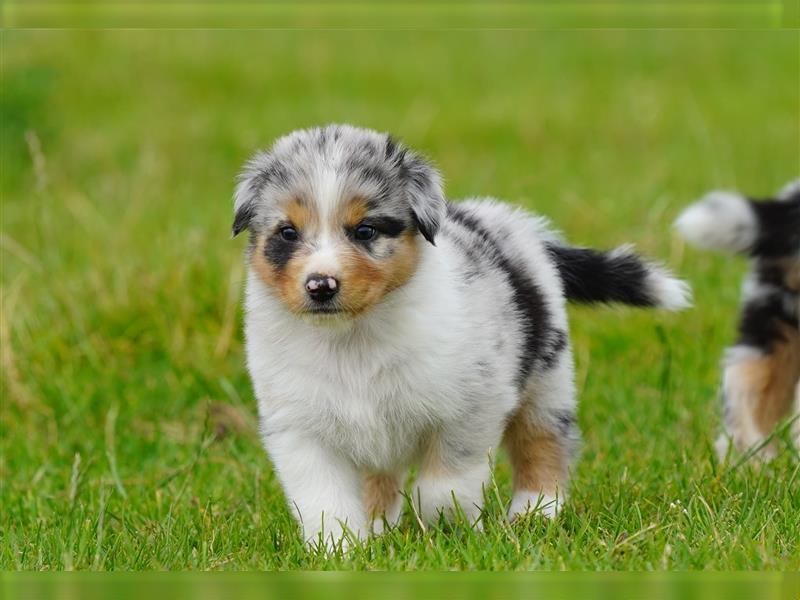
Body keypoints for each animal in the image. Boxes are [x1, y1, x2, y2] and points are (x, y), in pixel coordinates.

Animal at [233, 124, 692, 548]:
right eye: (288, 232)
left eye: (364, 231)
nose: (321, 285)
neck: (352, 339)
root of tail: (510, 223)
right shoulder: (300, 427)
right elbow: (326, 500)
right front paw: (341, 551)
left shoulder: (471, 404)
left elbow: (443, 484)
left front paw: (448, 530)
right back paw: (381, 527)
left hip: (548, 380)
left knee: (544, 443)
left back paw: (535, 511)